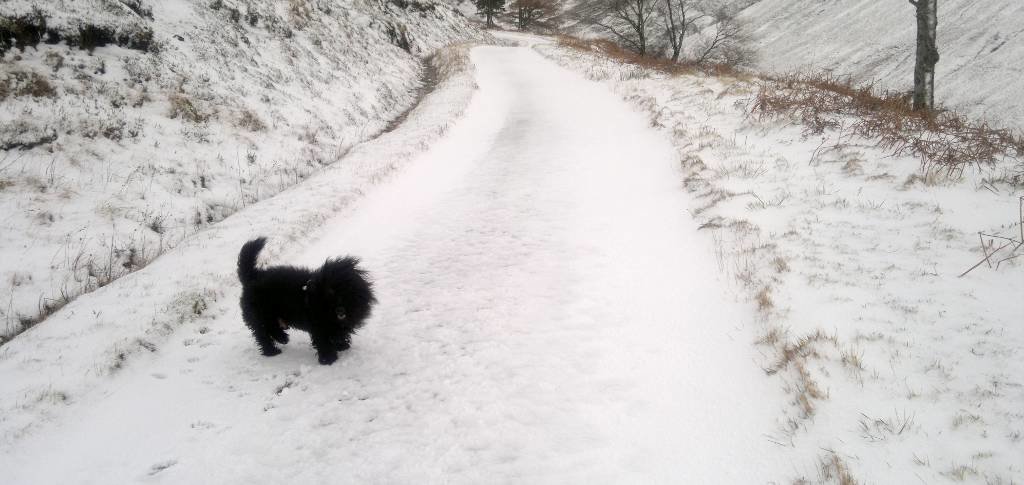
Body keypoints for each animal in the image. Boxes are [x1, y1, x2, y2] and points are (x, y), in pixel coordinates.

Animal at [236, 236, 376, 366]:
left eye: (347, 291)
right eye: (329, 293)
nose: (340, 309)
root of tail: (252, 277)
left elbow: (337, 334)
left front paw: (342, 346)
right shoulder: (318, 326)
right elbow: (323, 342)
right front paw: (328, 359)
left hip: (270, 315)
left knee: (272, 328)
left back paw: (282, 338)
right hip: (260, 315)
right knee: (263, 334)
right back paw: (272, 351)